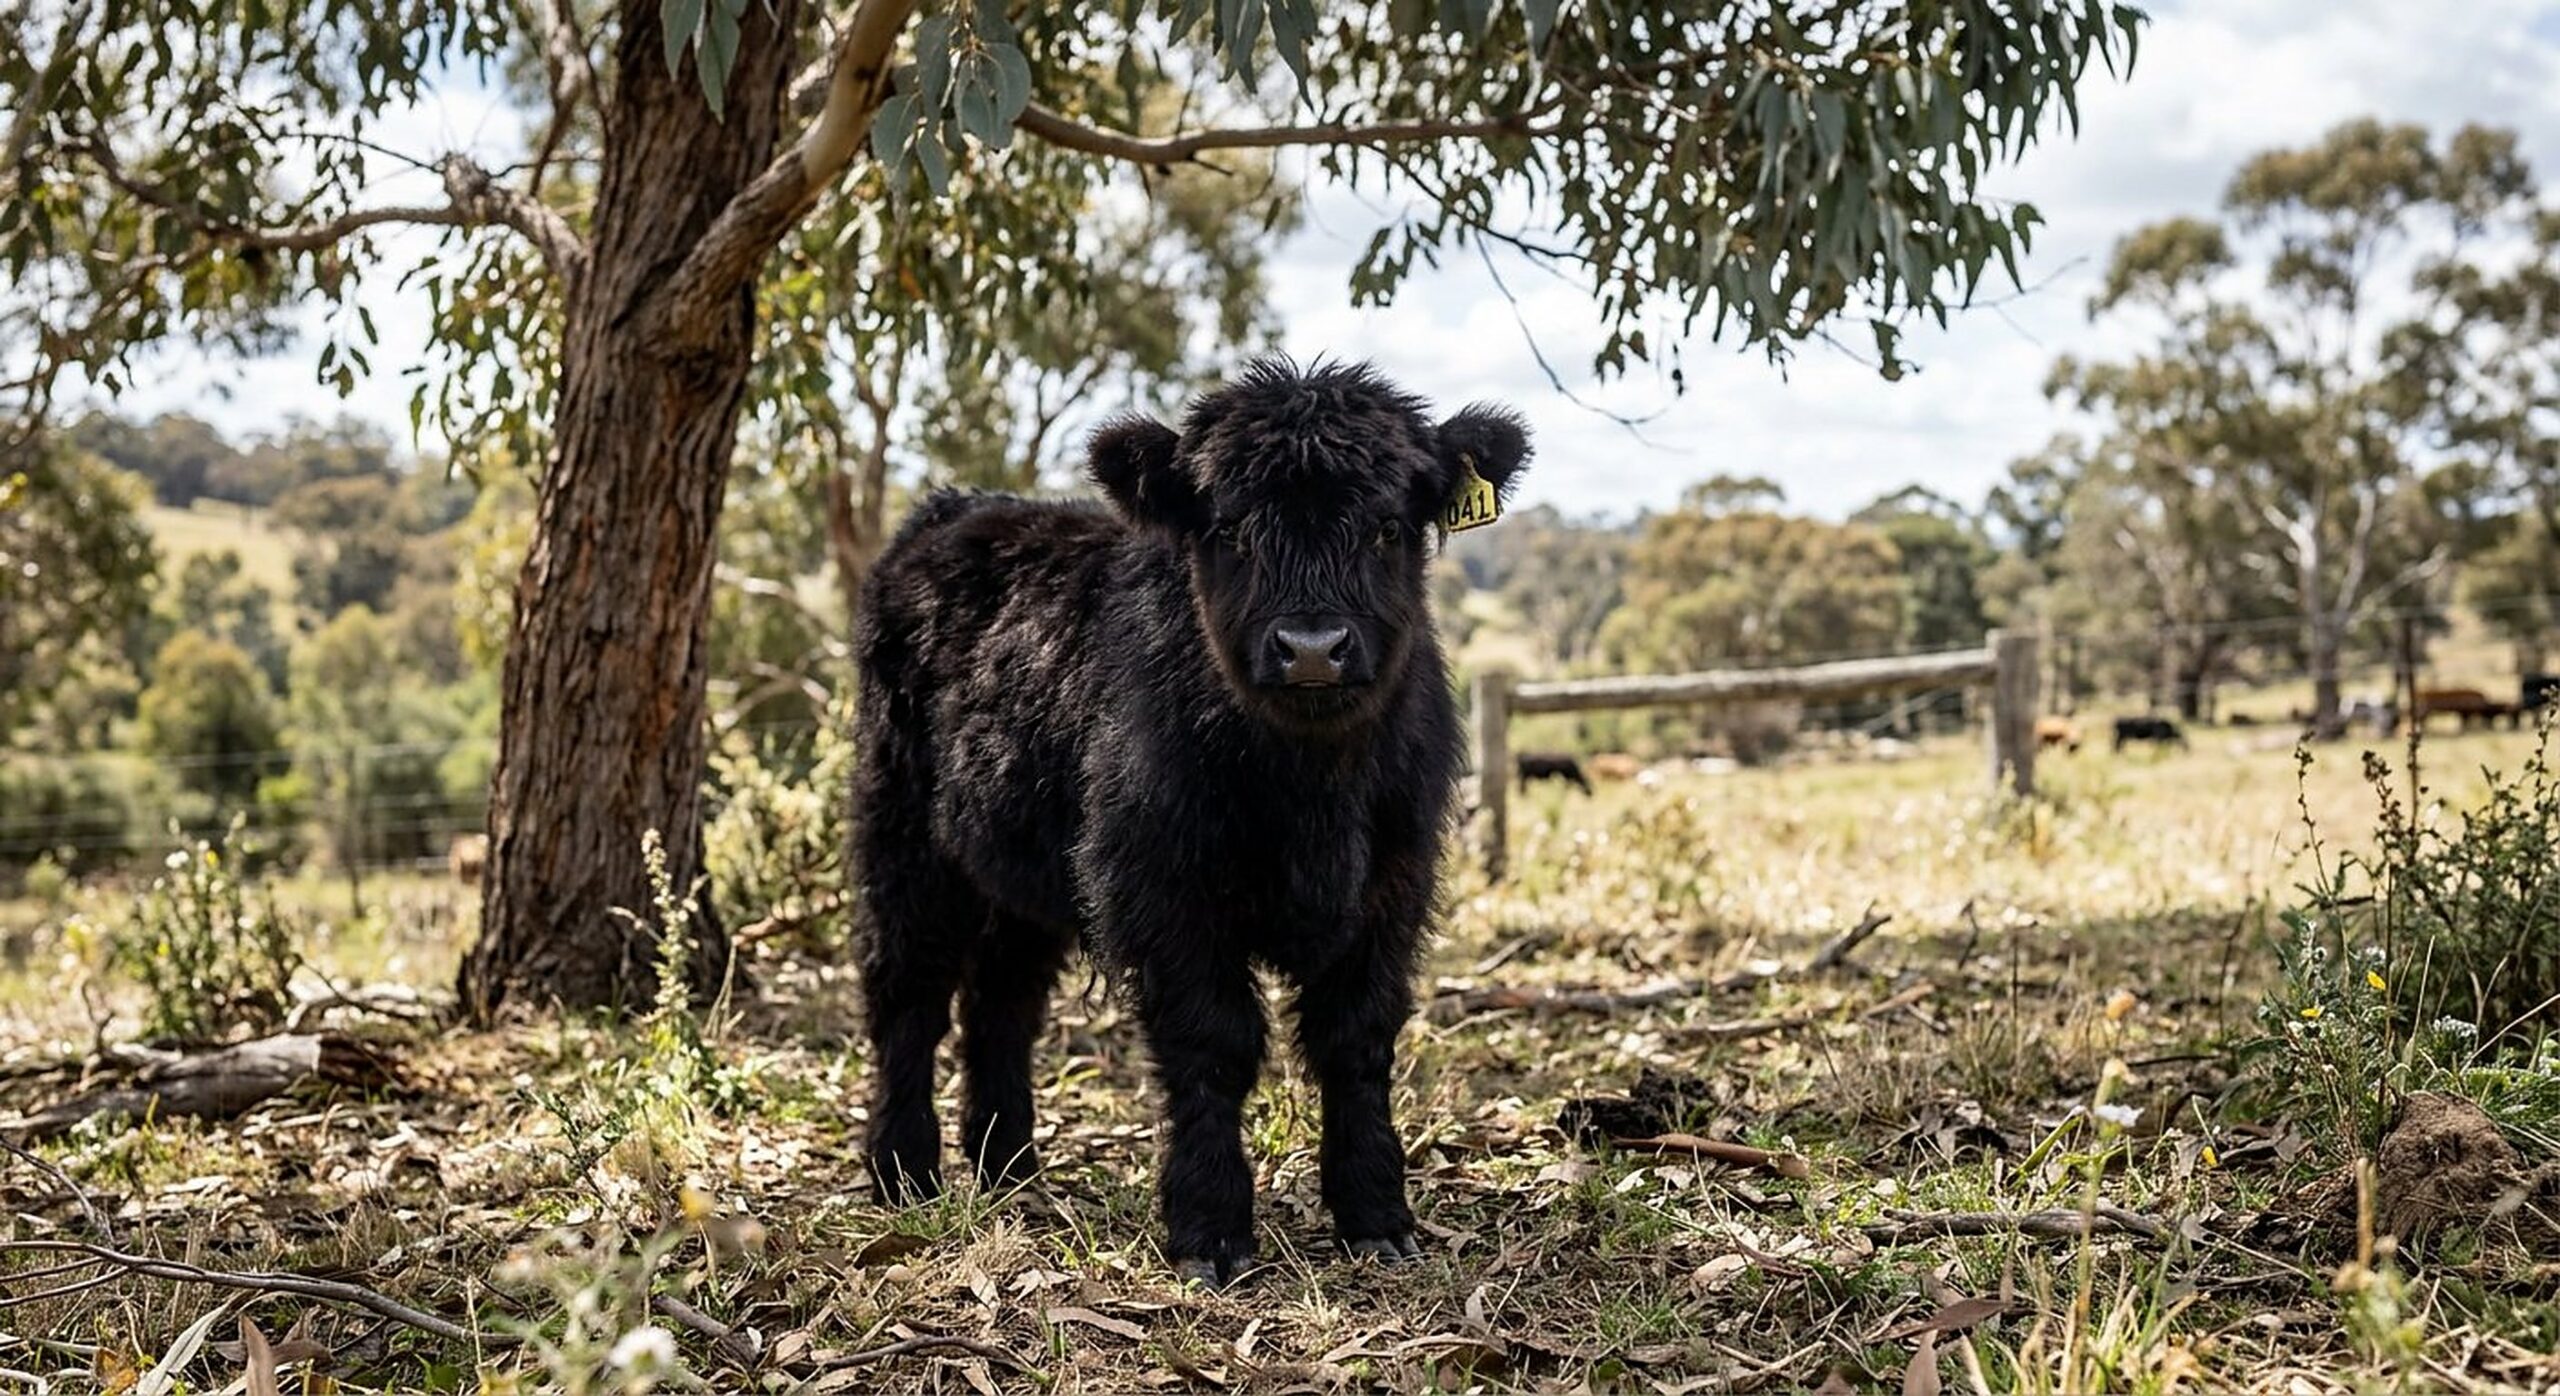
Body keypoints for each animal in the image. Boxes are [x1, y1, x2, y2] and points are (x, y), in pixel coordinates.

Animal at [852, 358, 1530, 1286]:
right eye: (1231, 531)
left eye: (1388, 528)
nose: (1312, 648)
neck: (1310, 792)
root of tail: (957, 507)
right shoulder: (1162, 888)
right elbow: (1214, 1042)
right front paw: (1210, 1230)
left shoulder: (1393, 886)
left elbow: (1357, 1040)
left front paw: (1376, 1217)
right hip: (904, 832)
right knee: (909, 993)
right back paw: (905, 1173)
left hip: (1021, 871)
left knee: (1002, 1002)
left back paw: (1010, 1168)